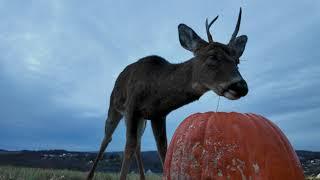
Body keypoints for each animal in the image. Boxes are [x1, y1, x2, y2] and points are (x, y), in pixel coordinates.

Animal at [86, 7, 249, 180]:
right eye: (212, 56)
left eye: (237, 61)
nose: (241, 86)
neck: (156, 87)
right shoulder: (132, 107)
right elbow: (128, 147)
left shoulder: (158, 115)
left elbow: (163, 151)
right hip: (114, 107)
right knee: (107, 139)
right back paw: (90, 175)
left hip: (141, 120)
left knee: (138, 144)